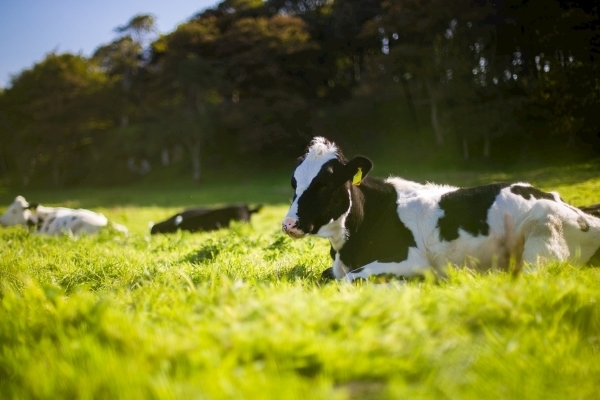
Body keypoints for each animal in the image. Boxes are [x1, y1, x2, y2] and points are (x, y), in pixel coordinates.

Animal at [282, 138, 600, 282]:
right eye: (294, 182)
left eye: (324, 183)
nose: (288, 224)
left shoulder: (410, 260)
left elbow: (349, 279)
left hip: (542, 236)